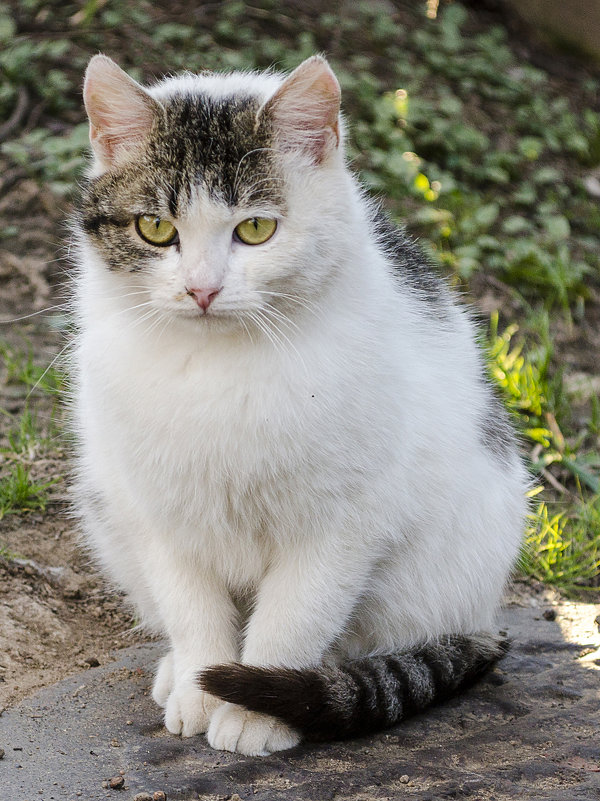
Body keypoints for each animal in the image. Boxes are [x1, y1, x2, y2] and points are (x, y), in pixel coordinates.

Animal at [72, 53, 528, 752]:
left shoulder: (342, 523)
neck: (219, 369)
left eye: (255, 229)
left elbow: (294, 617)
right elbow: (191, 608)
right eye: (156, 228)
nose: (202, 289)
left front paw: (256, 710)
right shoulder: (160, 511)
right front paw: (200, 685)